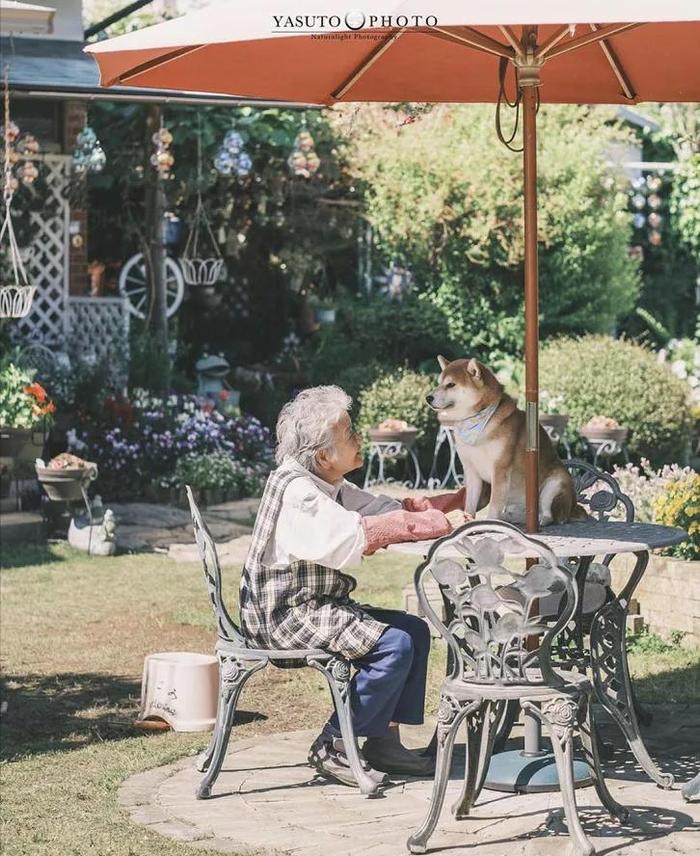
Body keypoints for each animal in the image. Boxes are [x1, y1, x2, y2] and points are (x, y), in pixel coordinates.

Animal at [426, 356, 584, 528]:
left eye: (451, 384)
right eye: (439, 383)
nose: (428, 397)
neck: (477, 423)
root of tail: (574, 507)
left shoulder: (500, 469)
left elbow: (495, 503)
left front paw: (489, 522)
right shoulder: (471, 471)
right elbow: (470, 503)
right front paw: (466, 519)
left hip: (555, 483)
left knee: (552, 515)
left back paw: (541, 519)